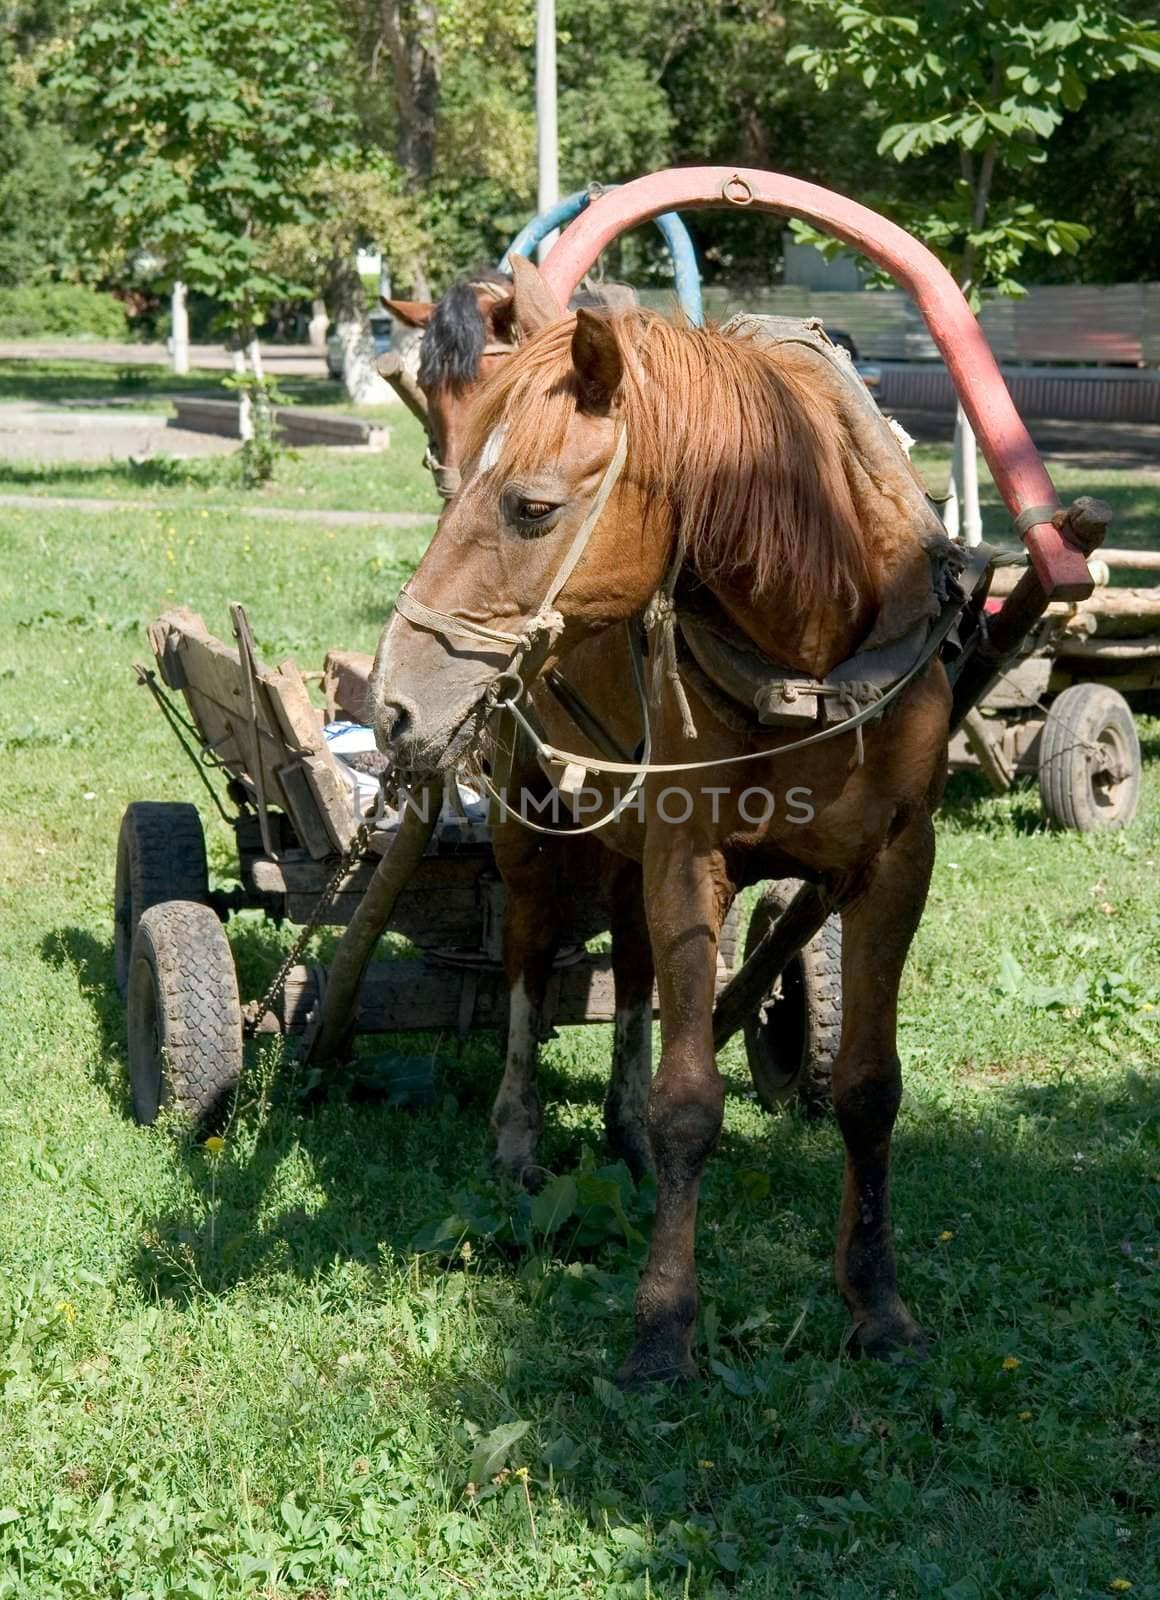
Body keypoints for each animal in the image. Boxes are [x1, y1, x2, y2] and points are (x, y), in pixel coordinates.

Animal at [368, 256, 947, 1382]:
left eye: (532, 506)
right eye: (452, 483)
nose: (394, 699)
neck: (809, 652)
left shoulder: (898, 861)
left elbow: (868, 1088)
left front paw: (878, 1302)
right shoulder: (687, 853)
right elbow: (691, 1102)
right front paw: (664, 1323)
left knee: (632, 970)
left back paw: (621, 1131)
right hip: (530, 825)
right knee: (526, 955)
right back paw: (519, 1138)